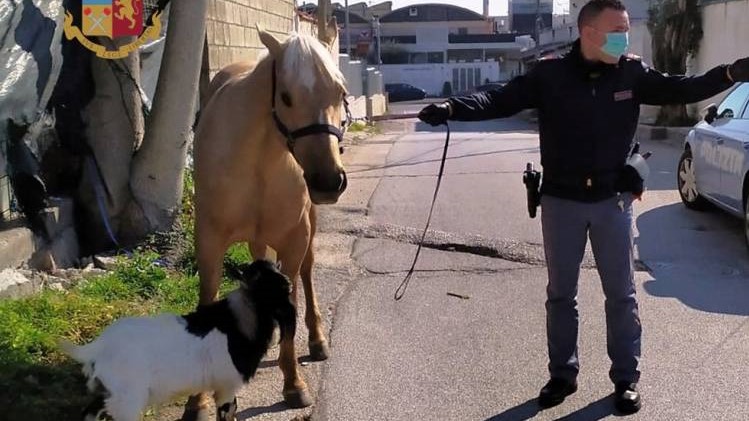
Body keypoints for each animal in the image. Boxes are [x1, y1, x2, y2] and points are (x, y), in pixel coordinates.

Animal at [59, 259, 296, 421]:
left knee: (89, 412)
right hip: (127, 399)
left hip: (109, 392)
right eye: (257, 278)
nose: (289, 284)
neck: (238, 323)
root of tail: (95, 349)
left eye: (276, 268)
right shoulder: (227, 386)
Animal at [186, 19, 348, 417]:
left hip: (308, 227)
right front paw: (198, 401)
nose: (327, 181)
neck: (259, 156)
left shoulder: (294, 238)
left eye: (340, 92)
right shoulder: (208, 240)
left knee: (307, 273)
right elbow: (207, 299)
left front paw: (294, 385)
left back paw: (317, 340)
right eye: (286, 96)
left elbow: (293, 296)